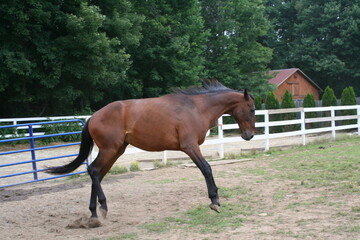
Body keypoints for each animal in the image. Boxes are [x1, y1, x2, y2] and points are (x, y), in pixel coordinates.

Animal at [46, 80, 256, 223]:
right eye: (252, 109)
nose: (249, 135)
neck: (196, 108)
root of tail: (93, 117)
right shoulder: (190, 147)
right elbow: (206, 169)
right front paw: (214, 201)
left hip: (116, 151)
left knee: (97, 174)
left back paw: (94, 214)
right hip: (109, 149)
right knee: (93, 171)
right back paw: (102, 206)